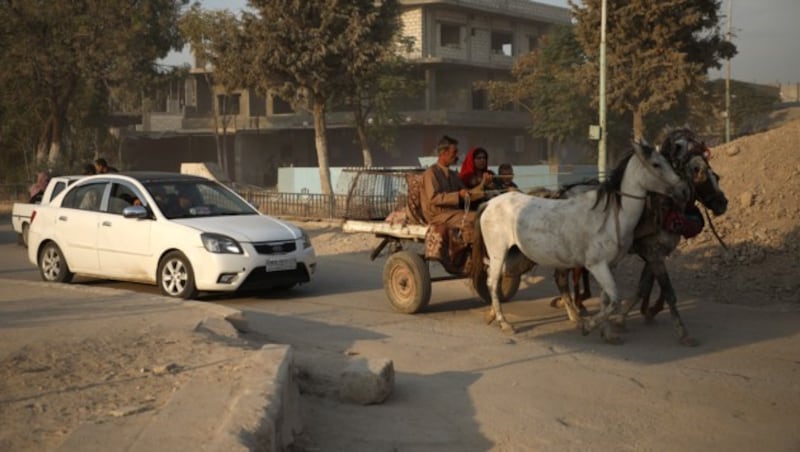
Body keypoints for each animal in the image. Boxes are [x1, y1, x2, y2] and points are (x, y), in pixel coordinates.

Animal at [472, 141, 692, 342]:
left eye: (669, 162)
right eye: (656, 164)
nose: (683, 190)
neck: (612, 215)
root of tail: (490, 202)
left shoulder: (610, 265)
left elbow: (606, 300)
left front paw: (607, 333)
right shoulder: (596, 265)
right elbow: (614, 299)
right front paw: (588, 325)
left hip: (512, 254)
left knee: (497, 279)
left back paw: (492, 315)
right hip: (498, 251)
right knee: (493, 282)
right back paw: (504, 323)